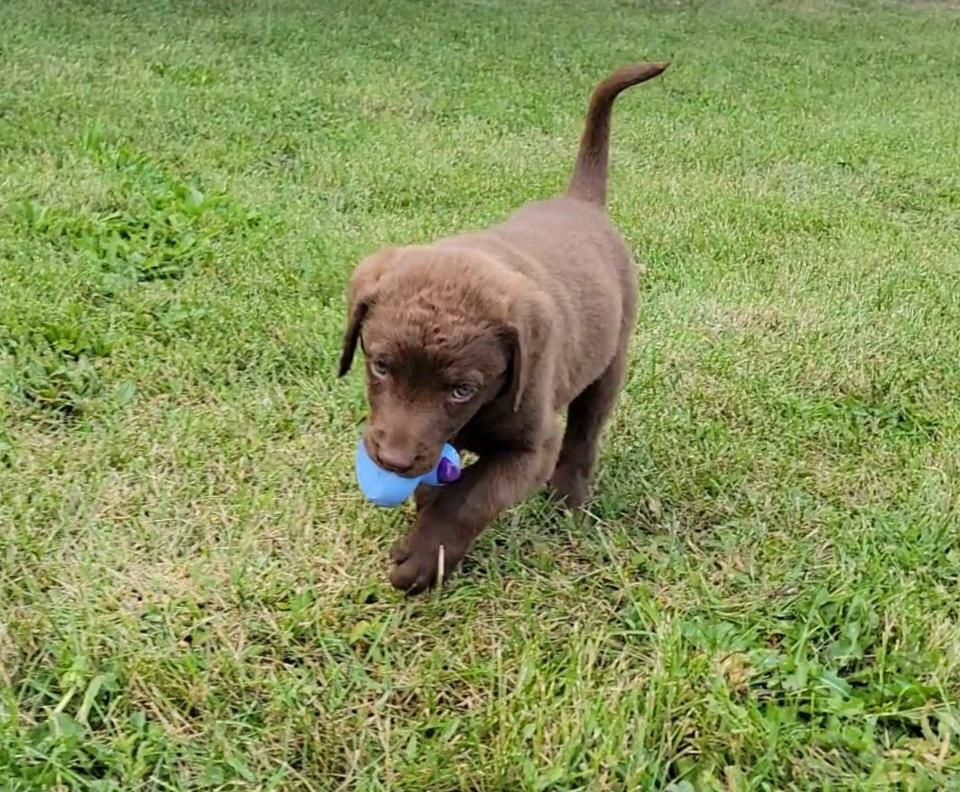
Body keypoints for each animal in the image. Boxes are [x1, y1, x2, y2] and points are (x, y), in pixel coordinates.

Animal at [339, 62, 668, 593]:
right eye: (381, 365)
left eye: (462, 389)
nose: (392, 461)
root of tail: (581, 202)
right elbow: (444, 485)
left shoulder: (532, 447)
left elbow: (471, 497)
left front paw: (424, 557)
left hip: (610, 360)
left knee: (585, 434)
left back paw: (569, 501)